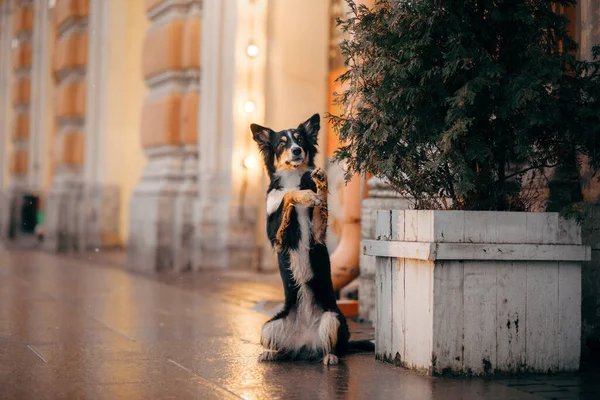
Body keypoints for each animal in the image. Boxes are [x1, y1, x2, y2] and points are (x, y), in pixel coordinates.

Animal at [250, 112, 372, 366]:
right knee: (284, 350)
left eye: (300, 140)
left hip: (332, 319)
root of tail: (304, 344)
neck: (292, 177)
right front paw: (304, 194)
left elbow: (318, 199)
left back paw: (330, 357)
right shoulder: (276, 236)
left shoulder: (317, 234)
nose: (297, 150)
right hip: (269, 328)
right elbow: (287, 195)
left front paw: (319, 183)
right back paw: (271, 353)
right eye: (282, 144)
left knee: (333, 347)